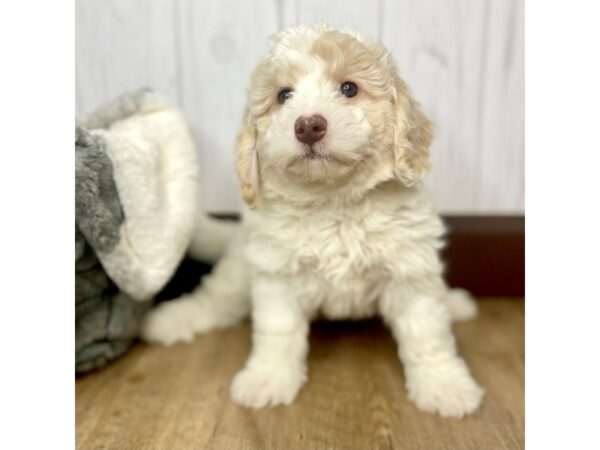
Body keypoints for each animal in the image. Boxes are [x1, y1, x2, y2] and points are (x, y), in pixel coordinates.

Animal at [143, 22, 486, 418]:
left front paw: (444, 386)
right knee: (216, 301)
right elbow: (277, 333)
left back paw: (455, 303)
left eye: (349, 89)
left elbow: (427, 333)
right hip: (240, 271)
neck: (333, 201)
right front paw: (267, 379)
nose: (308, 125)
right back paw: (170, 321)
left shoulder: (410, 271)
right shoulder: (277, 275)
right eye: (283, 95)